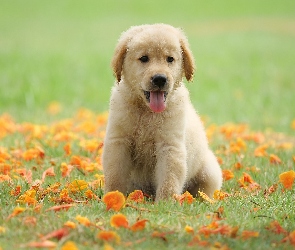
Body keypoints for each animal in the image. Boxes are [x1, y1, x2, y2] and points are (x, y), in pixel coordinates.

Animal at [103, 23, 223, 201]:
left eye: (170, 59)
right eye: (144, 58)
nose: (160, 79)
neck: (146, 111)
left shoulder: (170, 146)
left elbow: (169, 178)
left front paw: (165, 203)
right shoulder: (118, 142)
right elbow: (115, 174)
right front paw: (113, 196)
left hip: (210, 171)